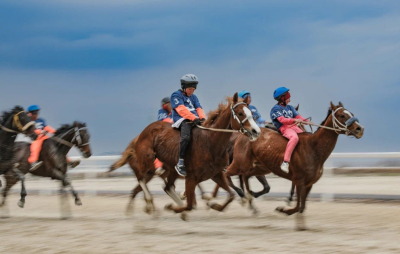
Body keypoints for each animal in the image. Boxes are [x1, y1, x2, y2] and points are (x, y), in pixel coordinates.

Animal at [131, 93, 260, 220]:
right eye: (240, 113)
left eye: (251, 113)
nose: (256, 131)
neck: (210, 142)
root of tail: (145, 130)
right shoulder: (191, 178)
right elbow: (189, 206)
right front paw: (174, 208)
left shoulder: (216, 174)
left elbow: (231, 196)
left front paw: (214, 205)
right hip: (147, 160)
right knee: (141, 178)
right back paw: (150, 205)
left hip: (171, 169)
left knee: (167, 187)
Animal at [223, 101, 364, 230]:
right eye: (341, 115)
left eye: (351, 113)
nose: (360, 129)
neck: (314, 148)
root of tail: (243, 133)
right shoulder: (299, 180)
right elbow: (298, 205)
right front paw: (283, 209)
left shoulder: (308, 183)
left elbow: (302, 206)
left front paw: (299, 223)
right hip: (239, 163)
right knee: (226, 173)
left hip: (258, 167)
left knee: (245, 176)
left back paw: (249, 198)